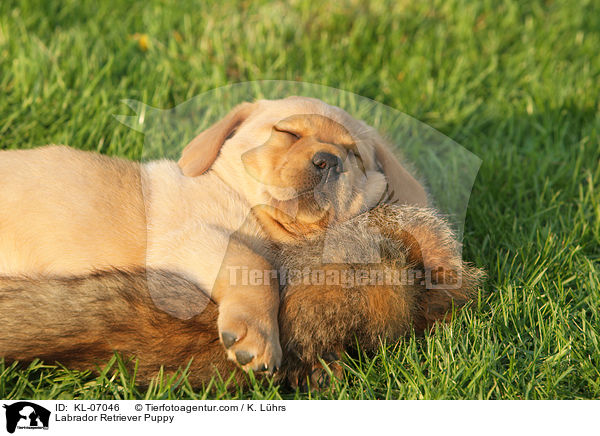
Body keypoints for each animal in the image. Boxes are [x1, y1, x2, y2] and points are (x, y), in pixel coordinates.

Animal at [0, 97, 426, 372]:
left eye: (354, 154)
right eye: (287, 132)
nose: (329, 160)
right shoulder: (189, 236)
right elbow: (252, 264)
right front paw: (256, 335)